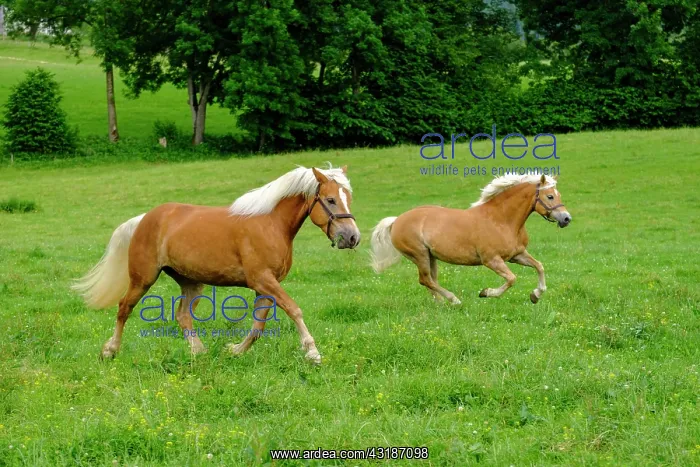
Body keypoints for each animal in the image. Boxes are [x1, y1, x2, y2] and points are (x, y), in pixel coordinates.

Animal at [72, 165, 360, 364]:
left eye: (349, 198)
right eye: (331, 200)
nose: (352, 237)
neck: (271, 224)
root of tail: (144, 219)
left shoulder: (266, 286)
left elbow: (258, 327)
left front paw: (234, 351)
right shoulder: (262, 279)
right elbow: (294, 309)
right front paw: (312, 352)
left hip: (191, 282)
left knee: (182, 315)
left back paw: (198, 352)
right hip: (143, 278)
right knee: (124, 308)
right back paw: (110, 351)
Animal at [370, 174, 571, 305]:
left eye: (558, 195)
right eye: (550, 196)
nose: (566, 219)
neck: (502, 219)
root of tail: (396, 220)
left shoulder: (517, 255)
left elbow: (539, 266)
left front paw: (535, 295)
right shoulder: (491, 260)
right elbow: (512, 279)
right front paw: (486, 293)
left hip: (430, 256)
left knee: (430, 281)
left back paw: (441, 303)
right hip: (419, 255)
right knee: (425, 280)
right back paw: (454, 300)